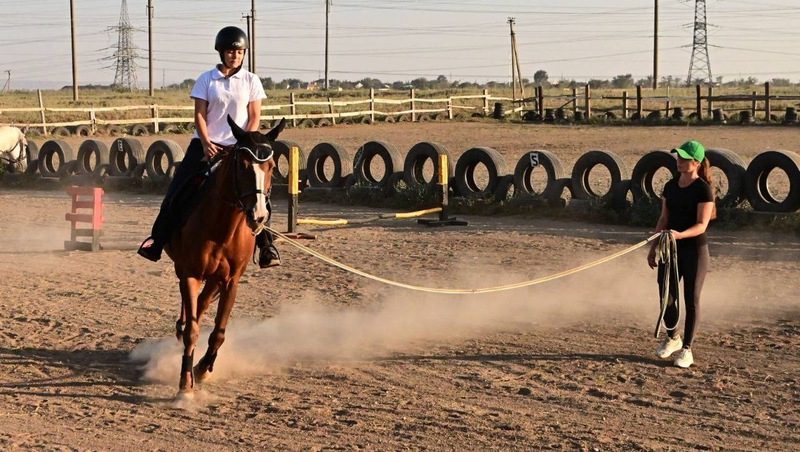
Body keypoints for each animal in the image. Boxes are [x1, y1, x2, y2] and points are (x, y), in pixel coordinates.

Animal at [166, 115, 284, 396]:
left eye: (272, 166)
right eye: (242, 165)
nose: (259, 215)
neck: (221, 229)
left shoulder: (231, 282)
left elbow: (218, 332)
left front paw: (202, 368)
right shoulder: (190, 274)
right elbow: (193, 330)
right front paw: (185, 383)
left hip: (215, 280)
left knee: (202, 303)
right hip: (187, 272)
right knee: (191, 309)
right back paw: (181, 329)